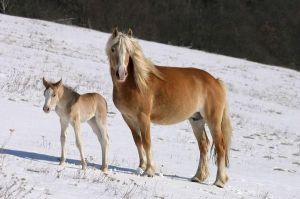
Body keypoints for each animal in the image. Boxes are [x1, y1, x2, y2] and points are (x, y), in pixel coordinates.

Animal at [106, 28, 233, 188]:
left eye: (129, 51)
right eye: (113, 49)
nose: (121, 73)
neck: (135, 83)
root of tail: (215, 81)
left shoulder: (143, 117)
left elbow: (146, 141)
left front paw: (149, 171)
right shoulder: (128, 118)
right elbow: (138, 141)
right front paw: (141, 167)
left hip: (213, 121)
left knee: (220, 146)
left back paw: (219, 181)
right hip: (196, 120)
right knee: (204, 145)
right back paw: (198, 177)